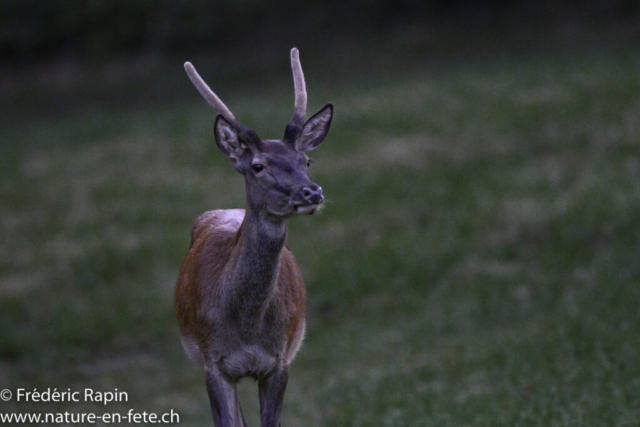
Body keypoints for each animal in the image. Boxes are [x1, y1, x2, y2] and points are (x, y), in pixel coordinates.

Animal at [175, 47, 336, 427]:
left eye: (306, 160)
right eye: (257, 166)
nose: (312, 192)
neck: (247, 330)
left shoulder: (280, 361)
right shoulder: (213, 363)